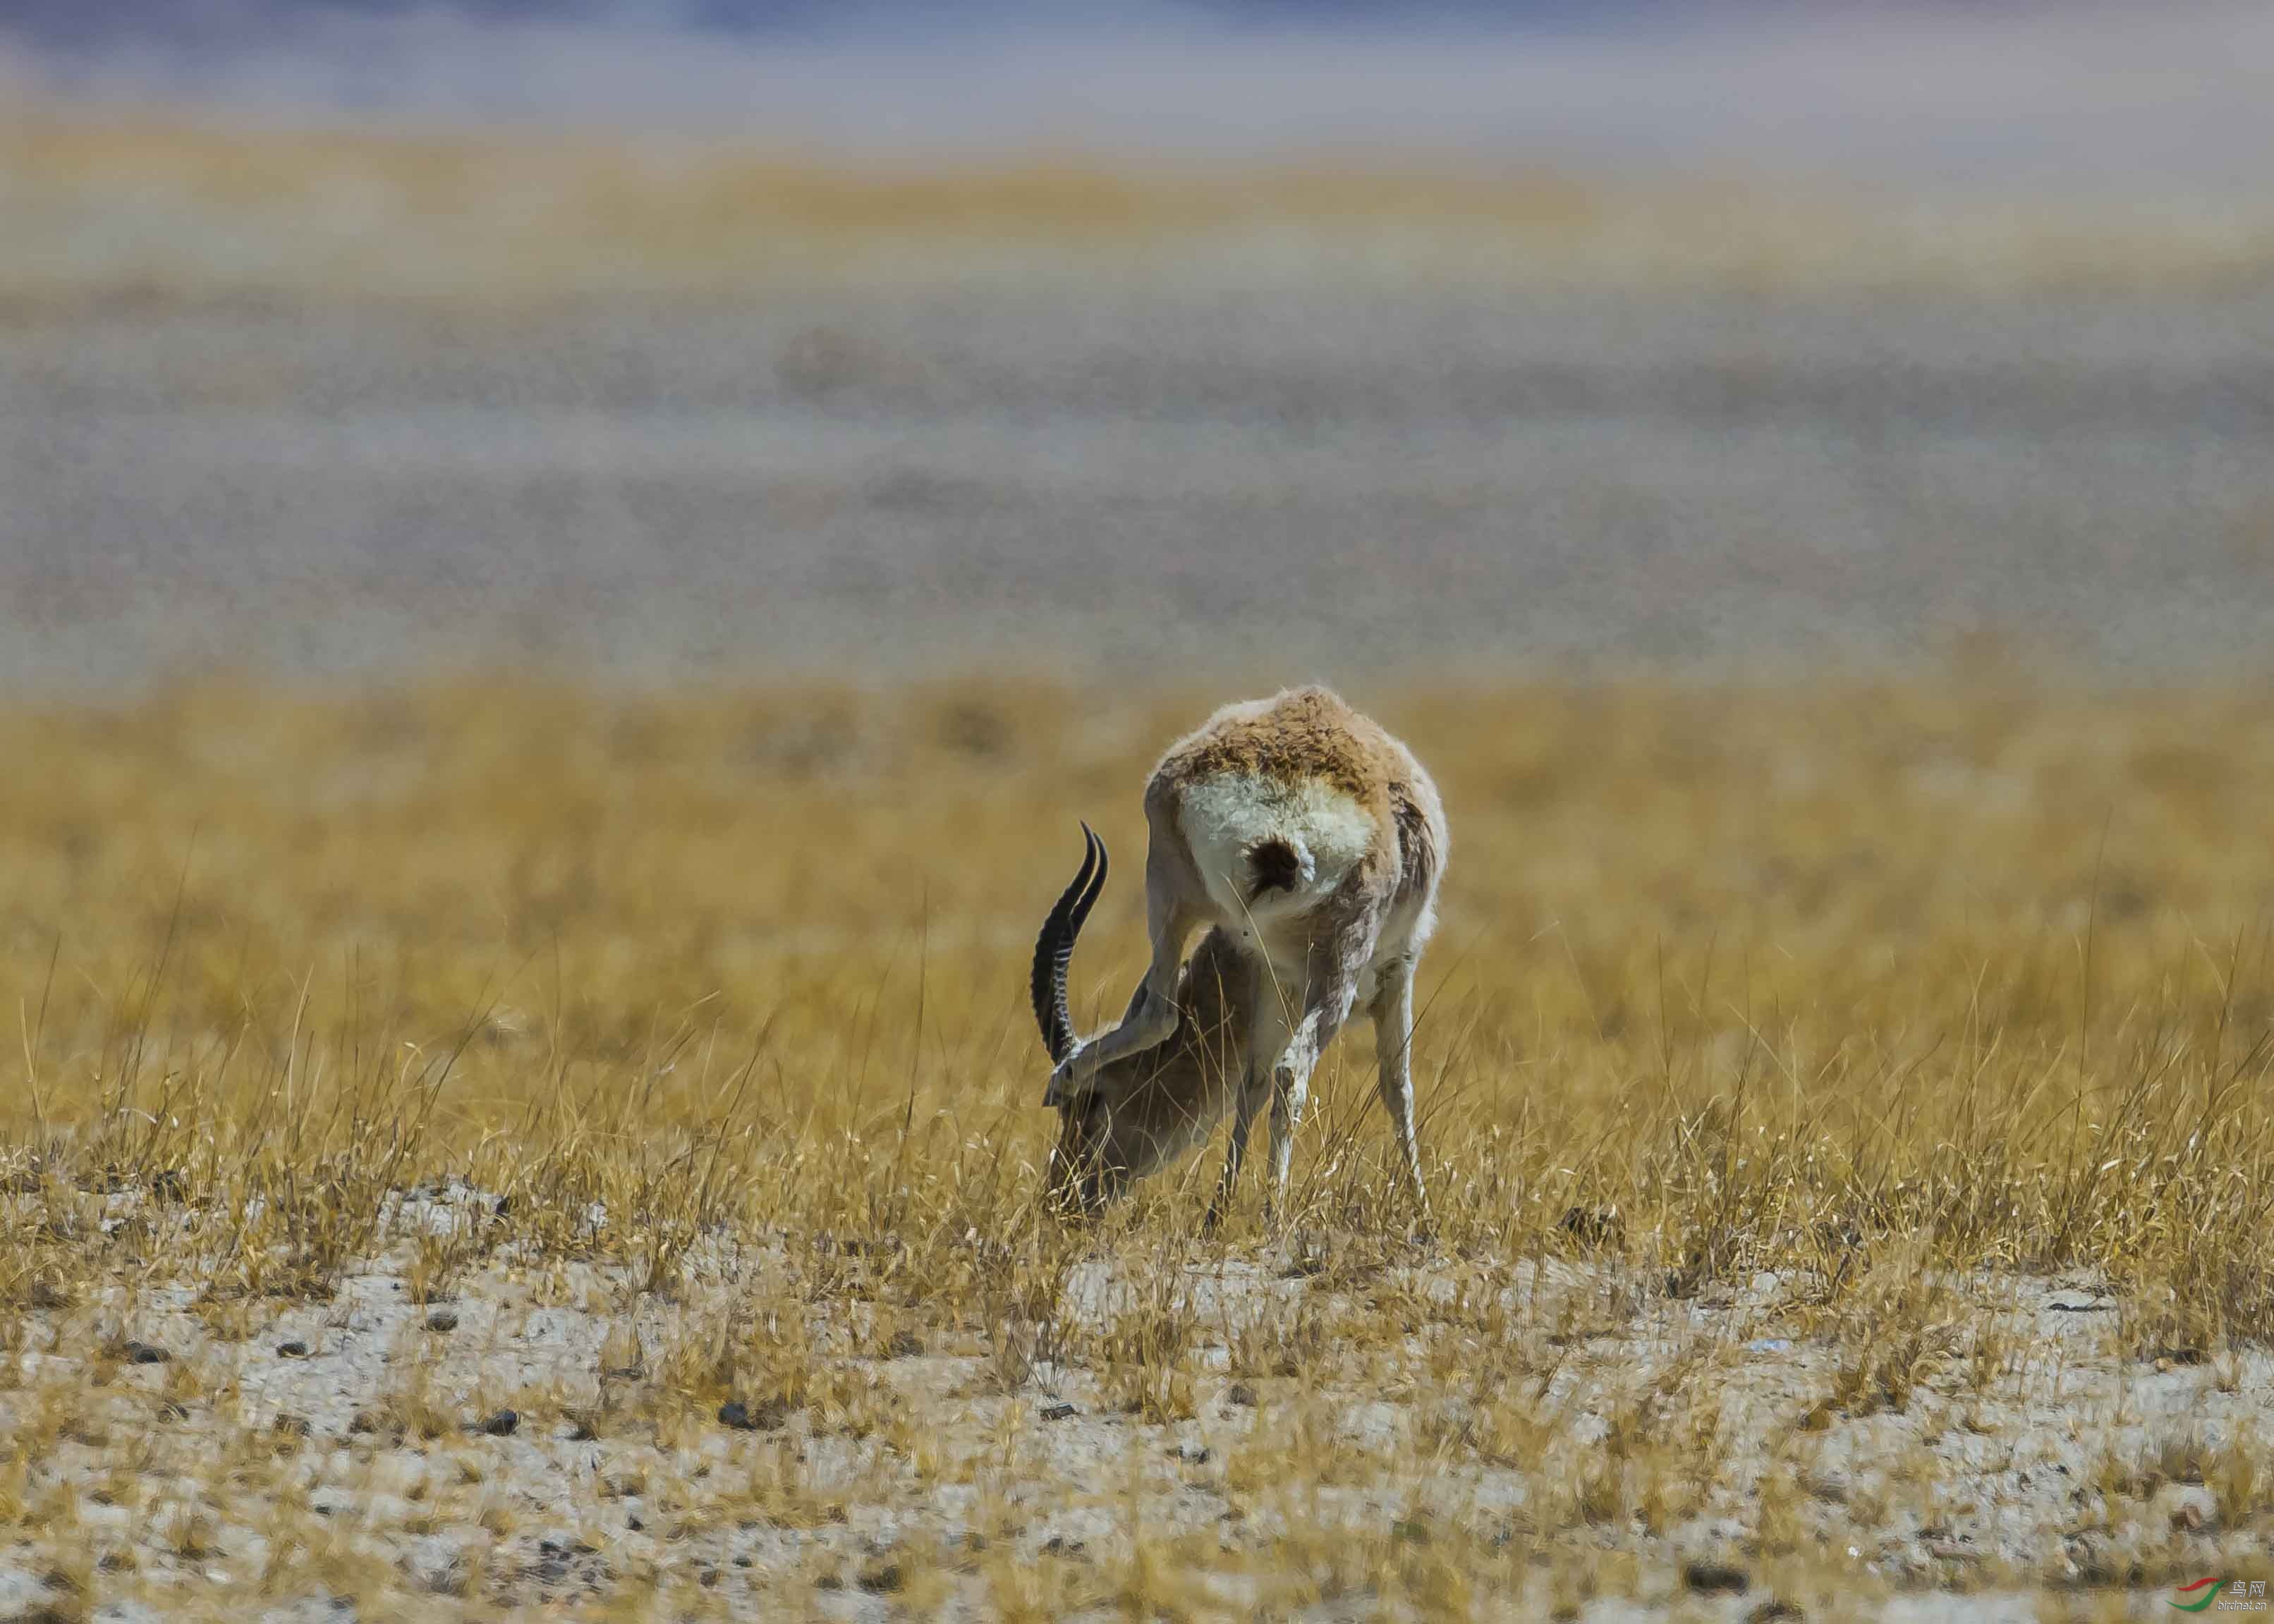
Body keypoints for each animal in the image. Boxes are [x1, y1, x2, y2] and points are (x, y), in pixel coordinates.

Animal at [1028, 682, 1437, 1228]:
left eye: (1096, 1105)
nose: (1063, 1200)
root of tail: (1276, 829)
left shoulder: (1268, 972)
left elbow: (1252, 1084)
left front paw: (1215, 1215)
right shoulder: (1396, 969)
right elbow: (1397, 1088)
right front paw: (1425, 1214)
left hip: (1170, 889)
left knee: (1161, 1014)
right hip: (1339, 965)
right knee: (1291, 1068)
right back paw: (1274, 1214)